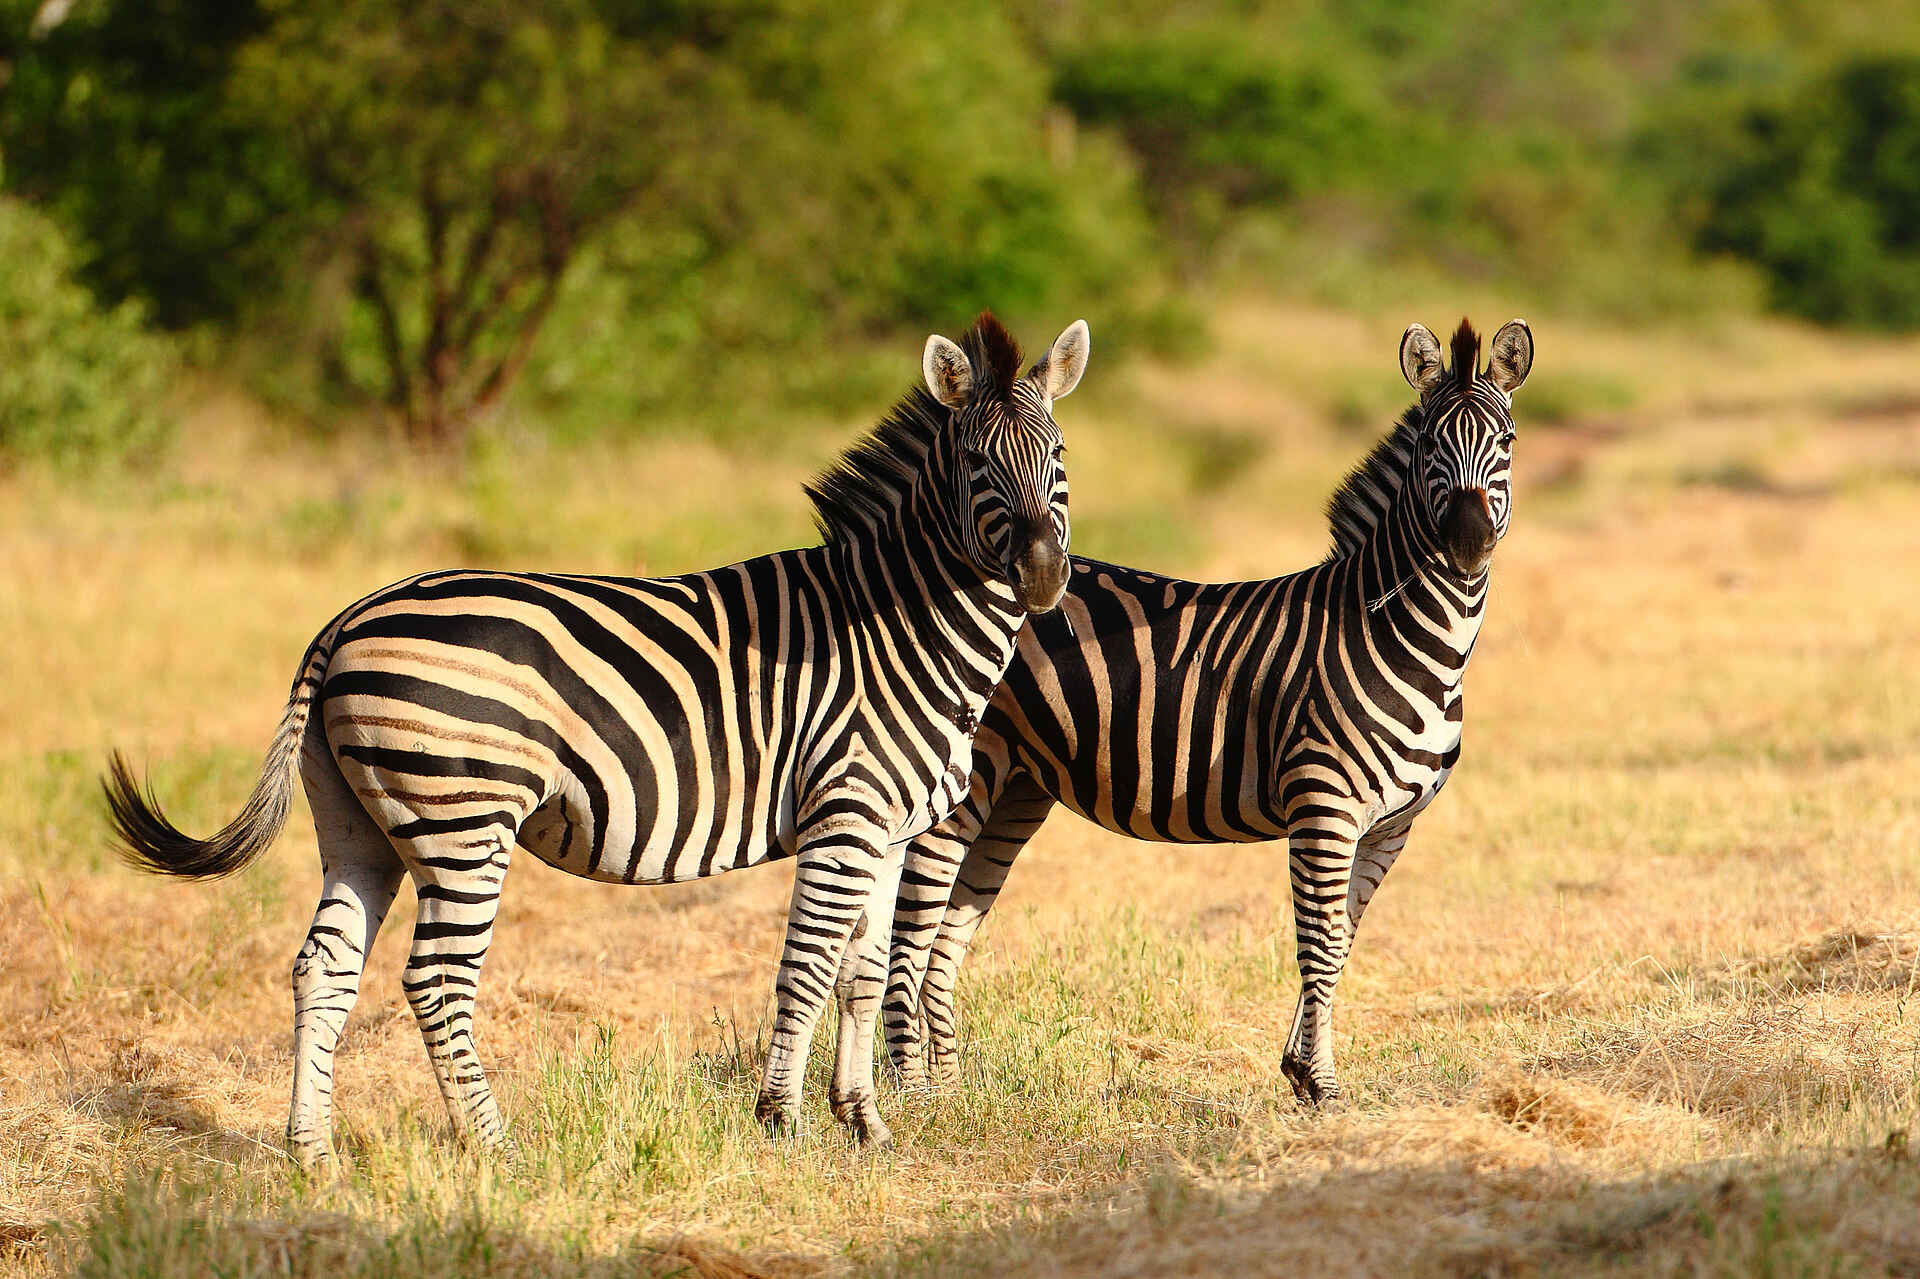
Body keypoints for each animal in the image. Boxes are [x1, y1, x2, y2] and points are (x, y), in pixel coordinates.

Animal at [105, 312, 1090, 1166]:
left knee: (324, 968)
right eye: (977, 463)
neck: (900, 623)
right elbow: (808, 968)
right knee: (435, 979)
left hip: (357, 820)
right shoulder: (844, 815)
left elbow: (862, 971)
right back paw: (496, 1150)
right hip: (463, 818)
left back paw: (312, 1154)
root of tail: (345, 620)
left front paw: (864, 1124)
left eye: (1058, 456)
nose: (1045, 577)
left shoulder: (888, 829)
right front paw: (781, 1121)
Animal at [884, 317, 1532, 1108]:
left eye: (1506, 440)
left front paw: (1301, 1073)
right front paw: (1322, 1088)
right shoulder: (1324, 805)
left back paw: (949, 1092)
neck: (1404, 638)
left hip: (1017, 787)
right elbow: (1319, 946)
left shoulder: (1392, 825)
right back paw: (914, 1096)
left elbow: (1343, 940)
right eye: (1432, 445)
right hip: (968, 779)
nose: (1468, 543)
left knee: (946, 934)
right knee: (911, 929)